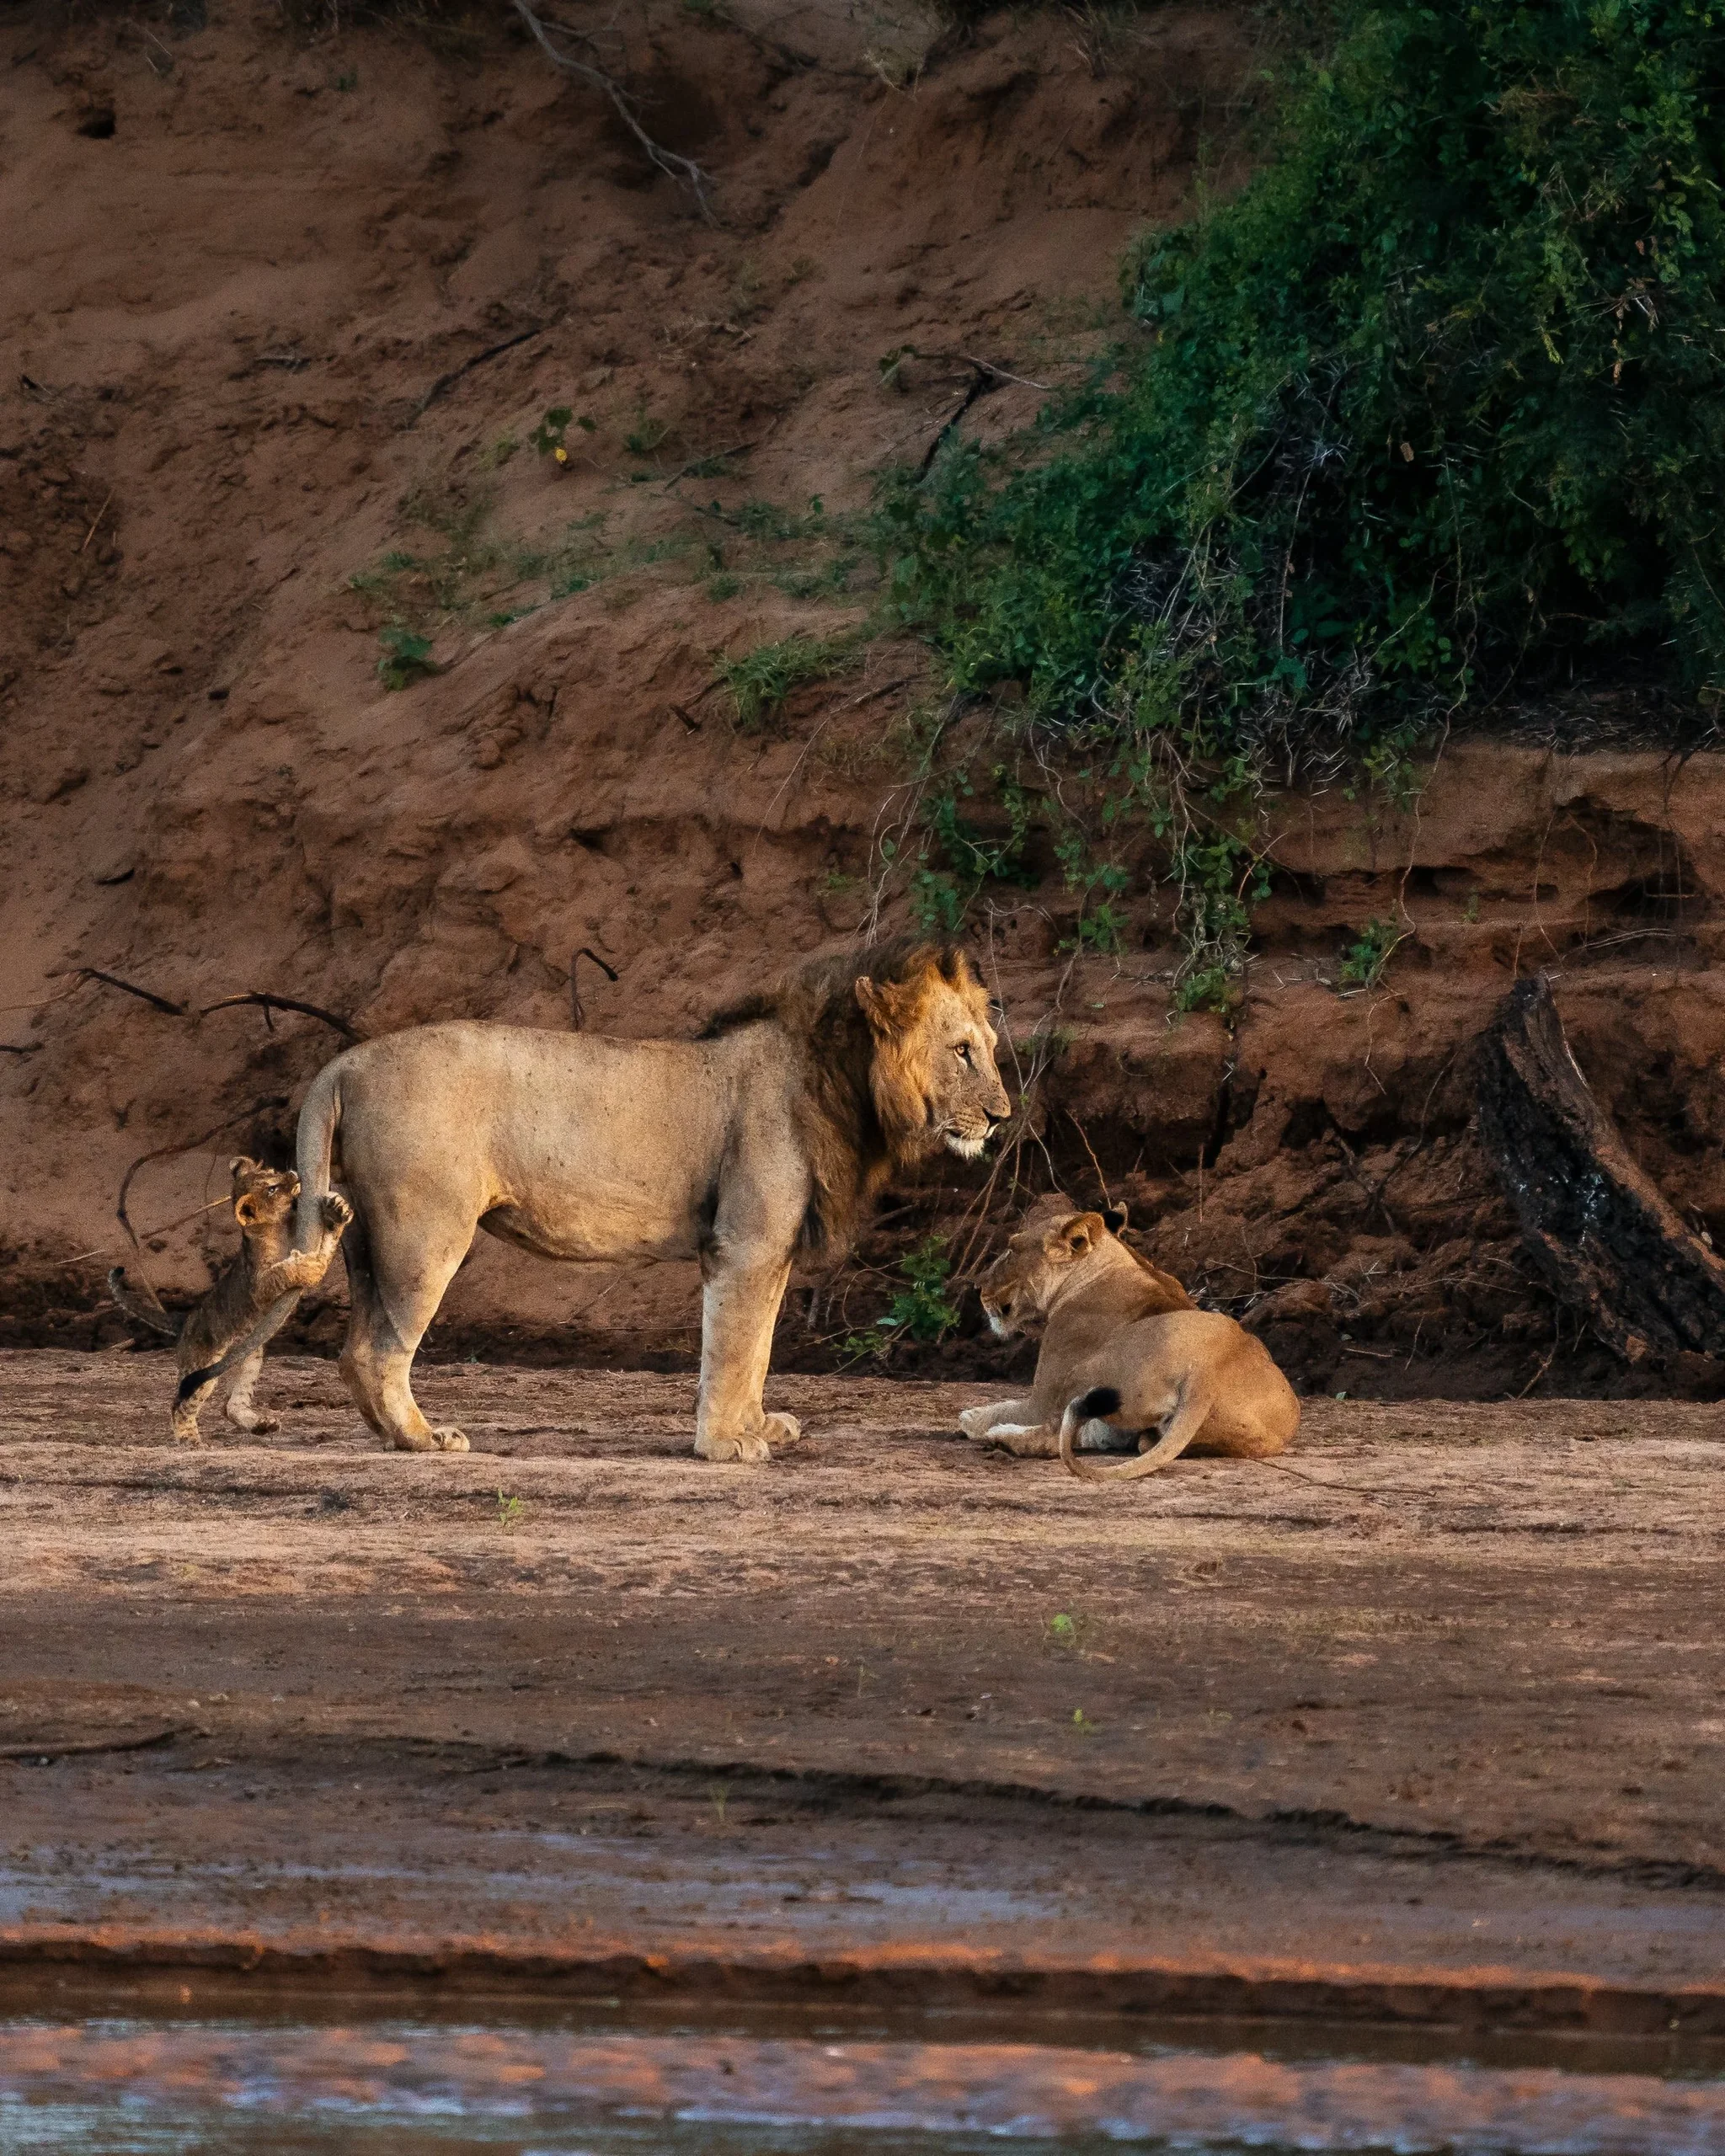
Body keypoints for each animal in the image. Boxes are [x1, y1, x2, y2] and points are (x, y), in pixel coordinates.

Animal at [110, 1157, 352, 1444]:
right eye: (271, 1189)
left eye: (273, 1172)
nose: (294, 1174)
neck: (279, 1228)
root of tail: (187, 1319)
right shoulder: (259, 1284)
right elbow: (284, 1271)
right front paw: (309, 1266)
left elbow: (326, 1245)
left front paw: (337, 1210)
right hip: (203, 1364)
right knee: (180, 1403)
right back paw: (190, 1440)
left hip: (249, 1358)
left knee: (229, 1405)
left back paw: (261, 1425)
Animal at [284, 939, 1011, 1459]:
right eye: (962, 1051)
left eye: (989, 1048)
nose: (1002, 1116)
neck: (842, 1083)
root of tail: (346, 1062)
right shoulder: (744, 1244)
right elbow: (733, 1345)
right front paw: (724, 1445)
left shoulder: (771, 1252)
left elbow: (759, 1346)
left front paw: (757, 1427)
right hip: (424, 1234)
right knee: (383, 1348)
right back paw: (422, 1438)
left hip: (364, 1235)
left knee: (354, 1350)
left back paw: (389, 1435)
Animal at [959, 1195, 1299, 1481]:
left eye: (1011, 1249)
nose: (976, 1286)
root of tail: (1207, 1374)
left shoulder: (1040, 1400)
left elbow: (996, 1409)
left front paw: (972, 1419)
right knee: (1129, 1440)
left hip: (1082, 1373)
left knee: (1052, 1437)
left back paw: (1001, 1437)